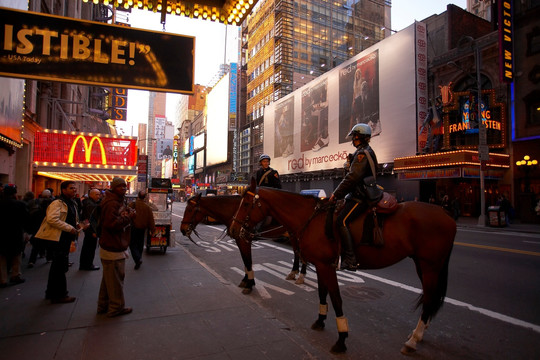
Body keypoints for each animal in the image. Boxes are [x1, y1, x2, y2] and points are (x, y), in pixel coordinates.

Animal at [180, 194, 308, 292]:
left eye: (190, 210)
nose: (182, 230)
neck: (235, 212)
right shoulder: (239, 240)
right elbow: (245, 261)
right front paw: (246, 280)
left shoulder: (244, 240)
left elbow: (248, 261)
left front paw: (249, 284)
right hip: (292, 234)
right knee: (296, 252)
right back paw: (293, 272)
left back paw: (301, 276)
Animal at [228, 179, 456, 352]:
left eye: (246, 204)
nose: (232, 230)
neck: (310, 218)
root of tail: (447, 214)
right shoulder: (320, 264)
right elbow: (322, 293)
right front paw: (320, 321)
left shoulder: (327, 266)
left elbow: (336, 299)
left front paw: (341, 338)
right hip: (422, 264)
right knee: (430, 298)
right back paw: (418, 333)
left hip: (430, 266)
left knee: (429, 297)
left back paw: (414, 339)